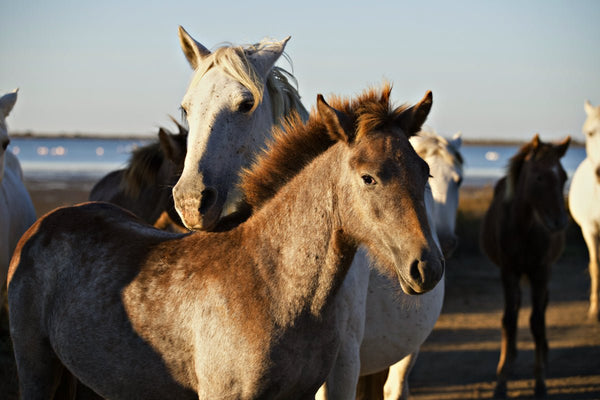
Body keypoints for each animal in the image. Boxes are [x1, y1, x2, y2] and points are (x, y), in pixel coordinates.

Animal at [478, 134, 572, 396]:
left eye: (564, 177)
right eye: (539, 177)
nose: (560, 222)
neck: (521, 227)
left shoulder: (540, 272)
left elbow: (537, 321)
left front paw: (540, 381)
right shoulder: (508, 271)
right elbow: (509, 320)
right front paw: (501, 380)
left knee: (541, 309)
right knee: (516, 309)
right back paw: (511, 355)